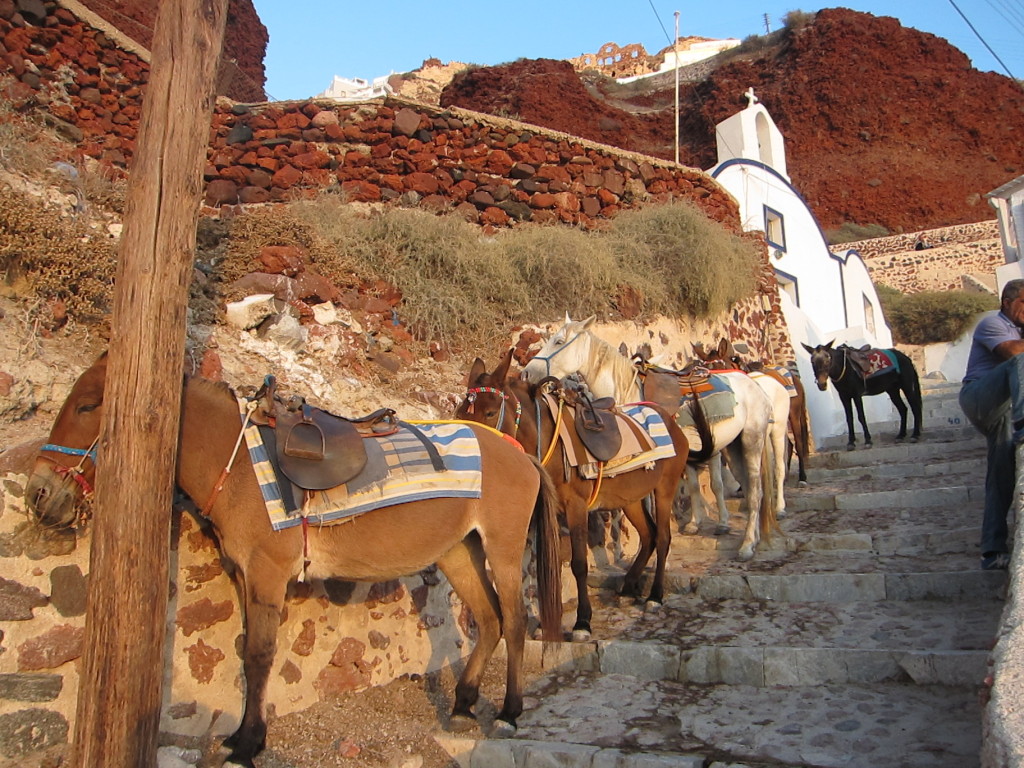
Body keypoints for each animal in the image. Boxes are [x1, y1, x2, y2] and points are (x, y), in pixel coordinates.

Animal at [520, 315, 774, 561]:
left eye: (559, 341)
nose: (526, 373)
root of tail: (753, 383)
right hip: (732, 448)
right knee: (750, 487)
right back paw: (753, 538)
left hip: (751, 441)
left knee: (754, 490)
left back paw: (747, 546)